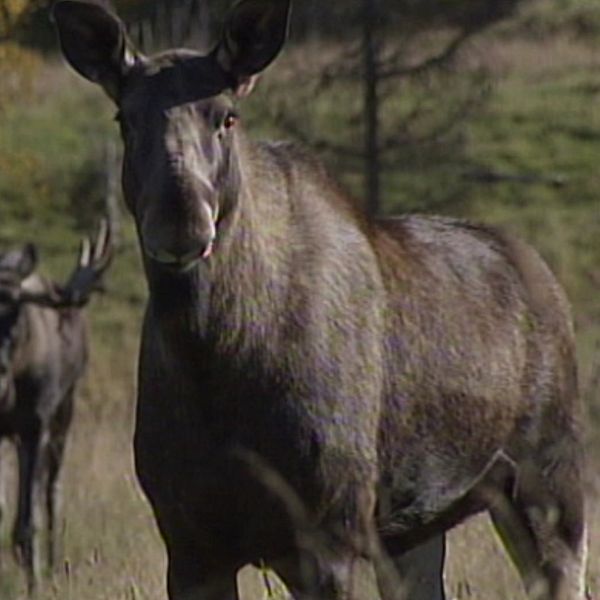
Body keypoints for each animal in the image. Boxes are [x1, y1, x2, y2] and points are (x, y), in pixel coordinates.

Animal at [0, 223, 112, 592]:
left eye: (15, 313)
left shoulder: (38, 424)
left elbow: (28, 521)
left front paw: (35, 584)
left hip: (64, 413)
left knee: (52, 490)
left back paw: (52, 563)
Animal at [54, 1, 588, 600]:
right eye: (125, 118)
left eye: (227, 116)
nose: (180, 219)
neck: (213, 362)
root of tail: (548, 280)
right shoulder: (190, 543)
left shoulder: (329, 532)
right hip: (413, 529)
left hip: (550, 483)